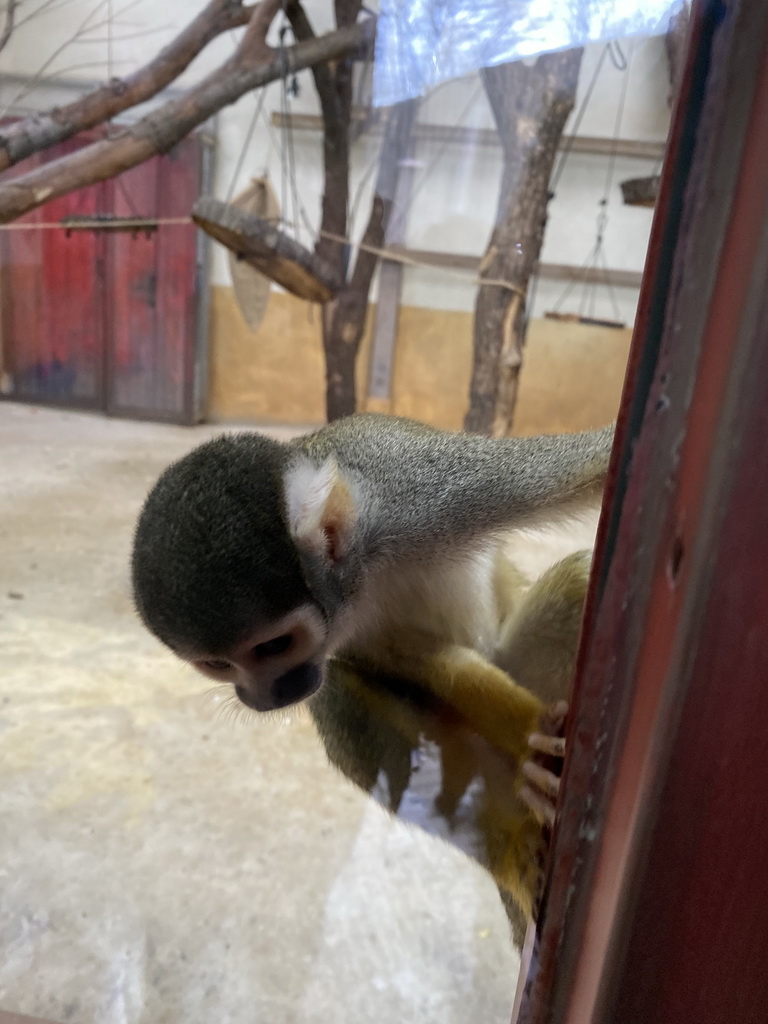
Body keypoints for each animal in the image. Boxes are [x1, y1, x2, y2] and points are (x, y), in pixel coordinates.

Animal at [132, 411, 614, 937]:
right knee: (338, 691)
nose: (263, 696)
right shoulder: (346, 627)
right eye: (218, 665)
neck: (365, 566)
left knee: (575, 581)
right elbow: (421, 663)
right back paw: (506, 845)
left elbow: (589, 464)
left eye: (273, 646)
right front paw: (528, 736)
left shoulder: (428, 493)